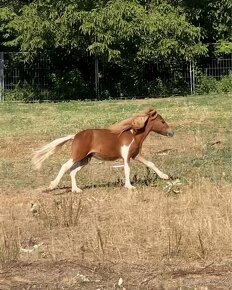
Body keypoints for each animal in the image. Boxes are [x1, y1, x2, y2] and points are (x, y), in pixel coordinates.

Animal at [33, 109, 174, 193]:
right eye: (162, 121)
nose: (171, 133)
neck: (133, 135)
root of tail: (75, 136)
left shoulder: (135, 155)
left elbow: (150, 163)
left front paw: (165, 176)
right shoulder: (126, 156)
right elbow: (127, 169)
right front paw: (129, 186)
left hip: (85, 159)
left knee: (72, 171)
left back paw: (76, 190)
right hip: (77, 155)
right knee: (65, 166)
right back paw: (52, 185)